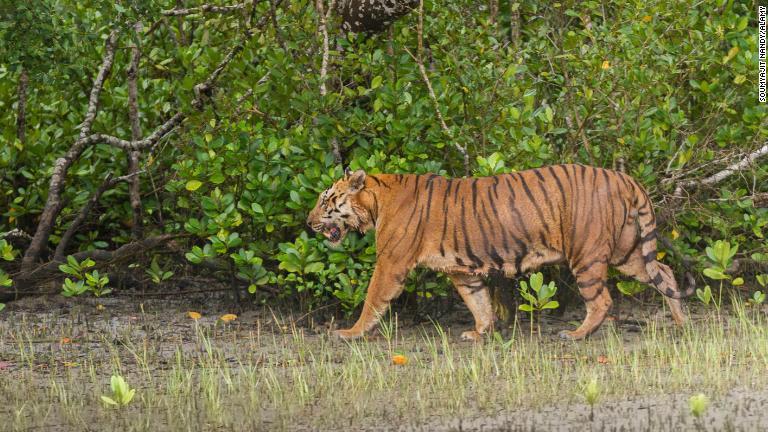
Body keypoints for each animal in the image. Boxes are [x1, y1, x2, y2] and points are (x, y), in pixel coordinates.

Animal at [308, 165, 696, 340]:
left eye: (327, 201)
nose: (309, 223)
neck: (376, 201)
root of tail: (623, 177)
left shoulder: (391, 262)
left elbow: (373, 298)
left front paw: (350, 333)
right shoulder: (463, 272)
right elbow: (478, 302)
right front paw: (480, 333)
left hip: (587, 254)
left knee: (601, 300)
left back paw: (575, 335)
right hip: (626, 252)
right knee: (664, 273)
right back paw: (682, 322)